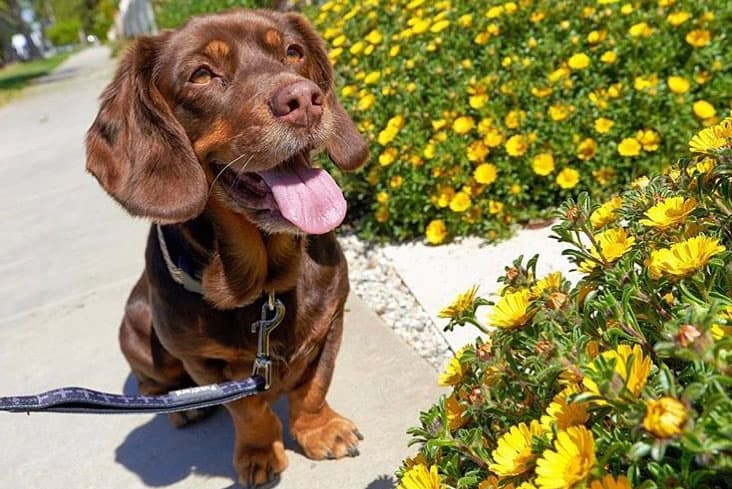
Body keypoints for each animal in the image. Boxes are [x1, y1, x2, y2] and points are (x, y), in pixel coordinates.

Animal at [86, 8, 368, 488]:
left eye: (293, 51)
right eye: (201, 74)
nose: (306, 99)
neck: (264, 287)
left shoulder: (332, 321)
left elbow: (313, 386)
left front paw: (320, 429)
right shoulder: (203, 361)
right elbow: (249, 410)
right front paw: (259, 453)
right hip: (138, 328)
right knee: (151, 382)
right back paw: (181, 405)